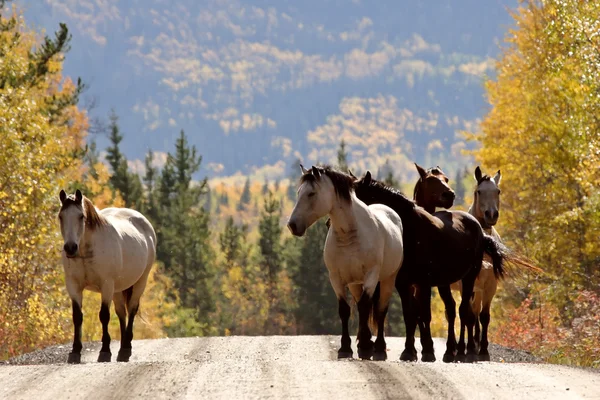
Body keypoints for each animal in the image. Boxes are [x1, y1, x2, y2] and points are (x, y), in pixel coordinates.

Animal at [58, 189, 157, 364]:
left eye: (81, 216)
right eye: (60, 216)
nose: (70, 248)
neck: (85, 251)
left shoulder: (106, 285)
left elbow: (104, 315)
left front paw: (104, 351)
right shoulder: (73, 286)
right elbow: (77, 317)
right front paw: (75, 352)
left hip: (140, 282)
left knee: (132, 309)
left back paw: (125, 349)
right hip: (117, 289)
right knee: (121, 313)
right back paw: (123, 347)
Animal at [288, 165, 404, 360]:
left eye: (311, 193)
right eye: (298, 192)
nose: (292, 225)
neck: (349, 234)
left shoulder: (371, 276)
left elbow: (366, 308)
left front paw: (365, 347)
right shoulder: (336, 278)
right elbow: (345, 310)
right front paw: (346, 348)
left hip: (388, 279)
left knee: (380, 310)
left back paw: (379, 348)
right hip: (355, 284)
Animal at [352, 166, 506, 362]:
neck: (409, 229)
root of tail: (479, 228)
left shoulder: (423, 282)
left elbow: (424, 314)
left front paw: (427, 351)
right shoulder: (403, 283)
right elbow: (410, 314)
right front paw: (409, 351)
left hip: (470, 278)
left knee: (466, 312)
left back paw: (467, 351)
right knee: (454, 310)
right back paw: (452, 351)